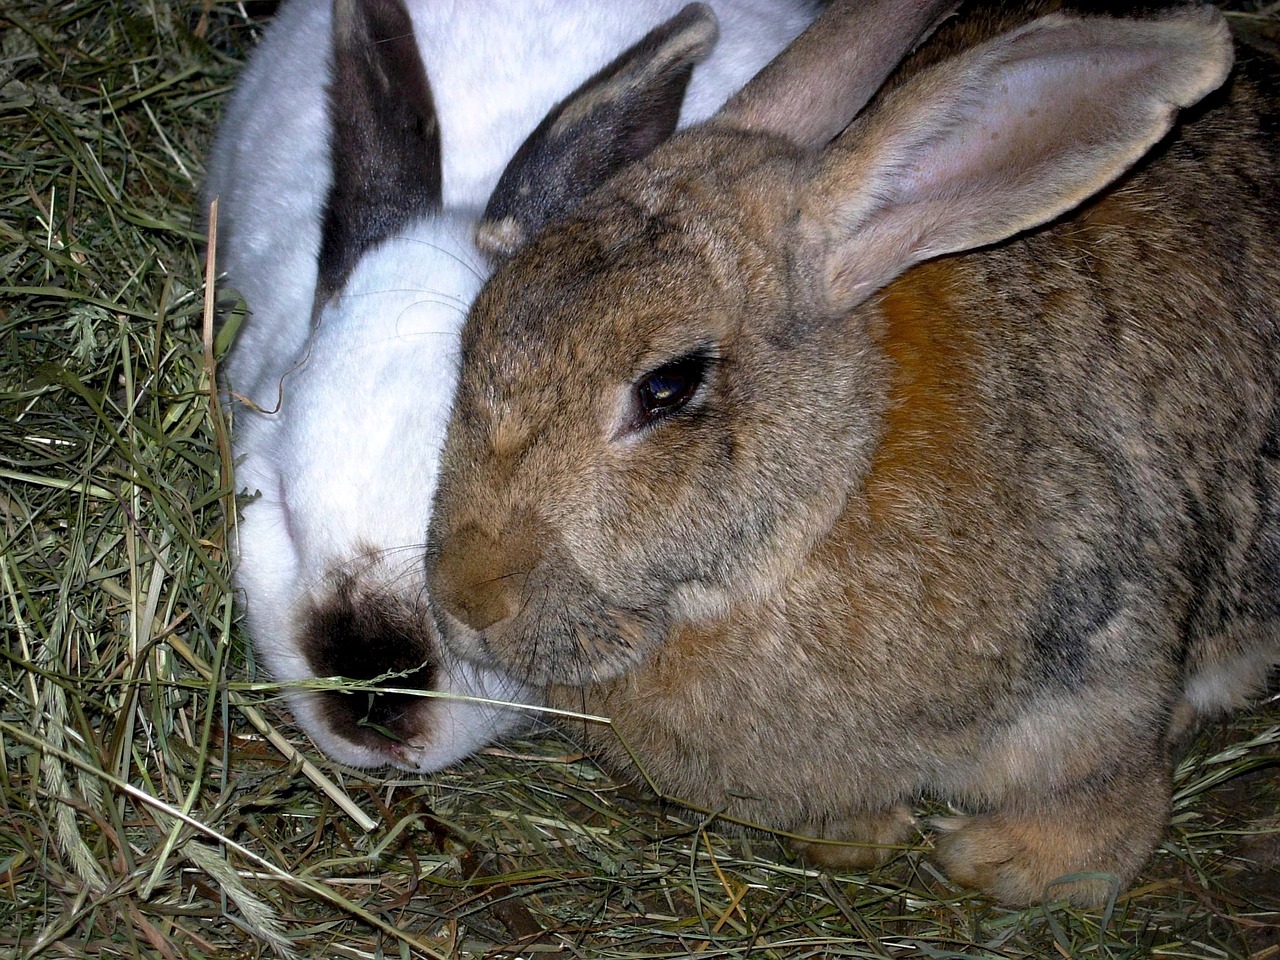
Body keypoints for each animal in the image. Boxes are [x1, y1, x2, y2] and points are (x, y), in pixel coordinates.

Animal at [423, 0, 1280, 905]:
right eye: (473, 338)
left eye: (667, 386)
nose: (469, 600)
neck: (834, 491)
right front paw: (853, 838)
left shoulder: (1103, 668)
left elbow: (1102, 794)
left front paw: (1006, 865)